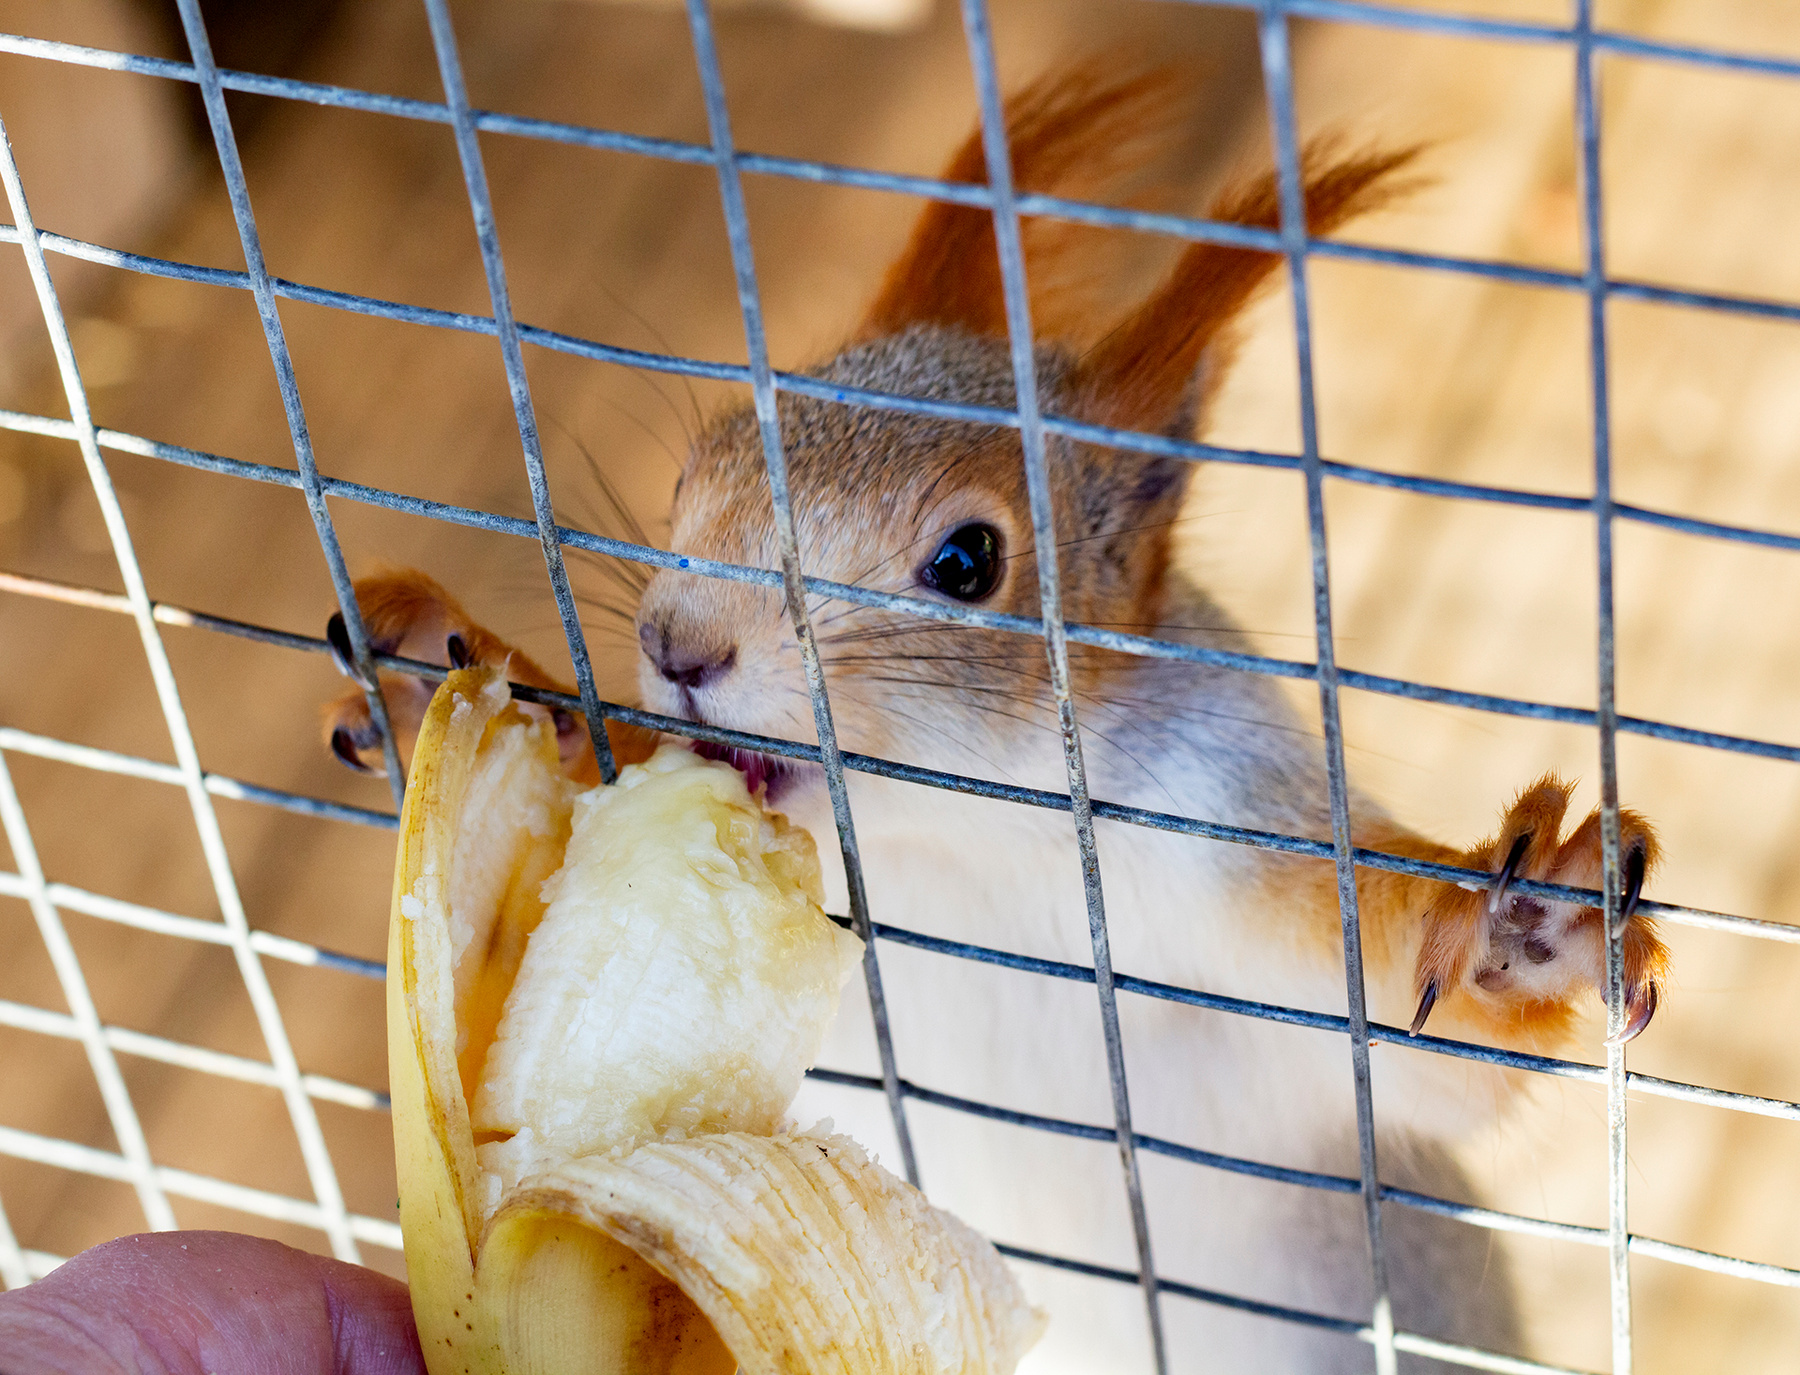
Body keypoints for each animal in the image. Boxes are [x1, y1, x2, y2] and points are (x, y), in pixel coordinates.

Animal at [321, 67, 1667, 1373]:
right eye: (690, 476)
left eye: (970, 561)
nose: (678, 644)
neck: (962, 852)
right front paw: (439, 664)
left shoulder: (1229, 873)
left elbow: (1430, 1055)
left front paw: (1521, 916)